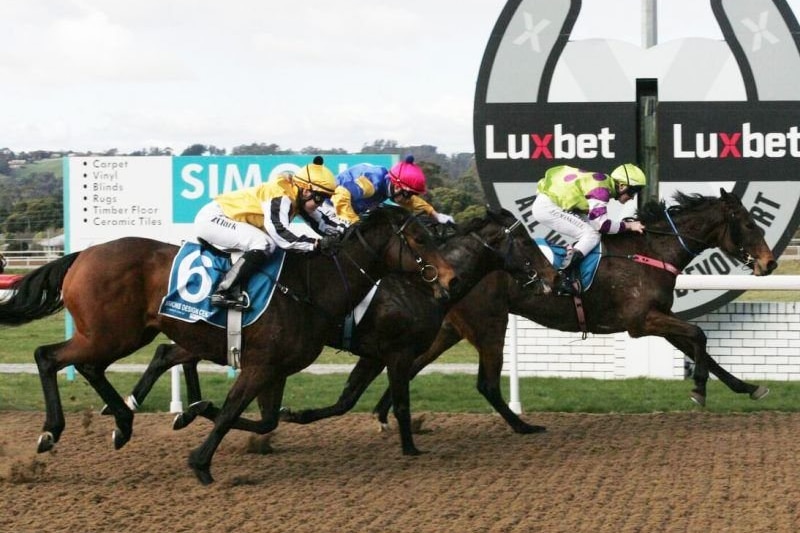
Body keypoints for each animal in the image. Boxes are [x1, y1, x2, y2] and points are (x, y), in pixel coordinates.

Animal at [0, 206, 456, 484]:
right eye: (418, 239)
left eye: (432, 235)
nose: (449, 280)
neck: (312, 286)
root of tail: (82, 254)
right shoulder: (260, 365)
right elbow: (232, 411)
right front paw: (200, 463)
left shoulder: (276, 368)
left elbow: (262, 418)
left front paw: (195, 413)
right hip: (111, 334)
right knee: (48, 357)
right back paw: (52, 432)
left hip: (122, 334)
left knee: (90, 365)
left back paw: (123, 423)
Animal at [122, 206, 552, 456]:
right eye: (525, 240)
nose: (551, 277)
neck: (415, 284)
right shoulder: (395, 352)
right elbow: (399, 402)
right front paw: (410, 448)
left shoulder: (375, 354)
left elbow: (346, 400)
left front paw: (298, 414)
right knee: (177, 356)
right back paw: (175, 408)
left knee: (170, 354)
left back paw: (182, 408)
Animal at [278, 189, 780, 434]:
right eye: (747, 223)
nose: (770, 263)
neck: (650, 251)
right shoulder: (641, 322)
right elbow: (700, 337)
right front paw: (699, 391)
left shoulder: (656, 317)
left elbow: (701, 346)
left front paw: (747, 387)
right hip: (489, 324)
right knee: (468, 377)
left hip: (452, 328)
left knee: (413, 362)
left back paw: (387, 416)